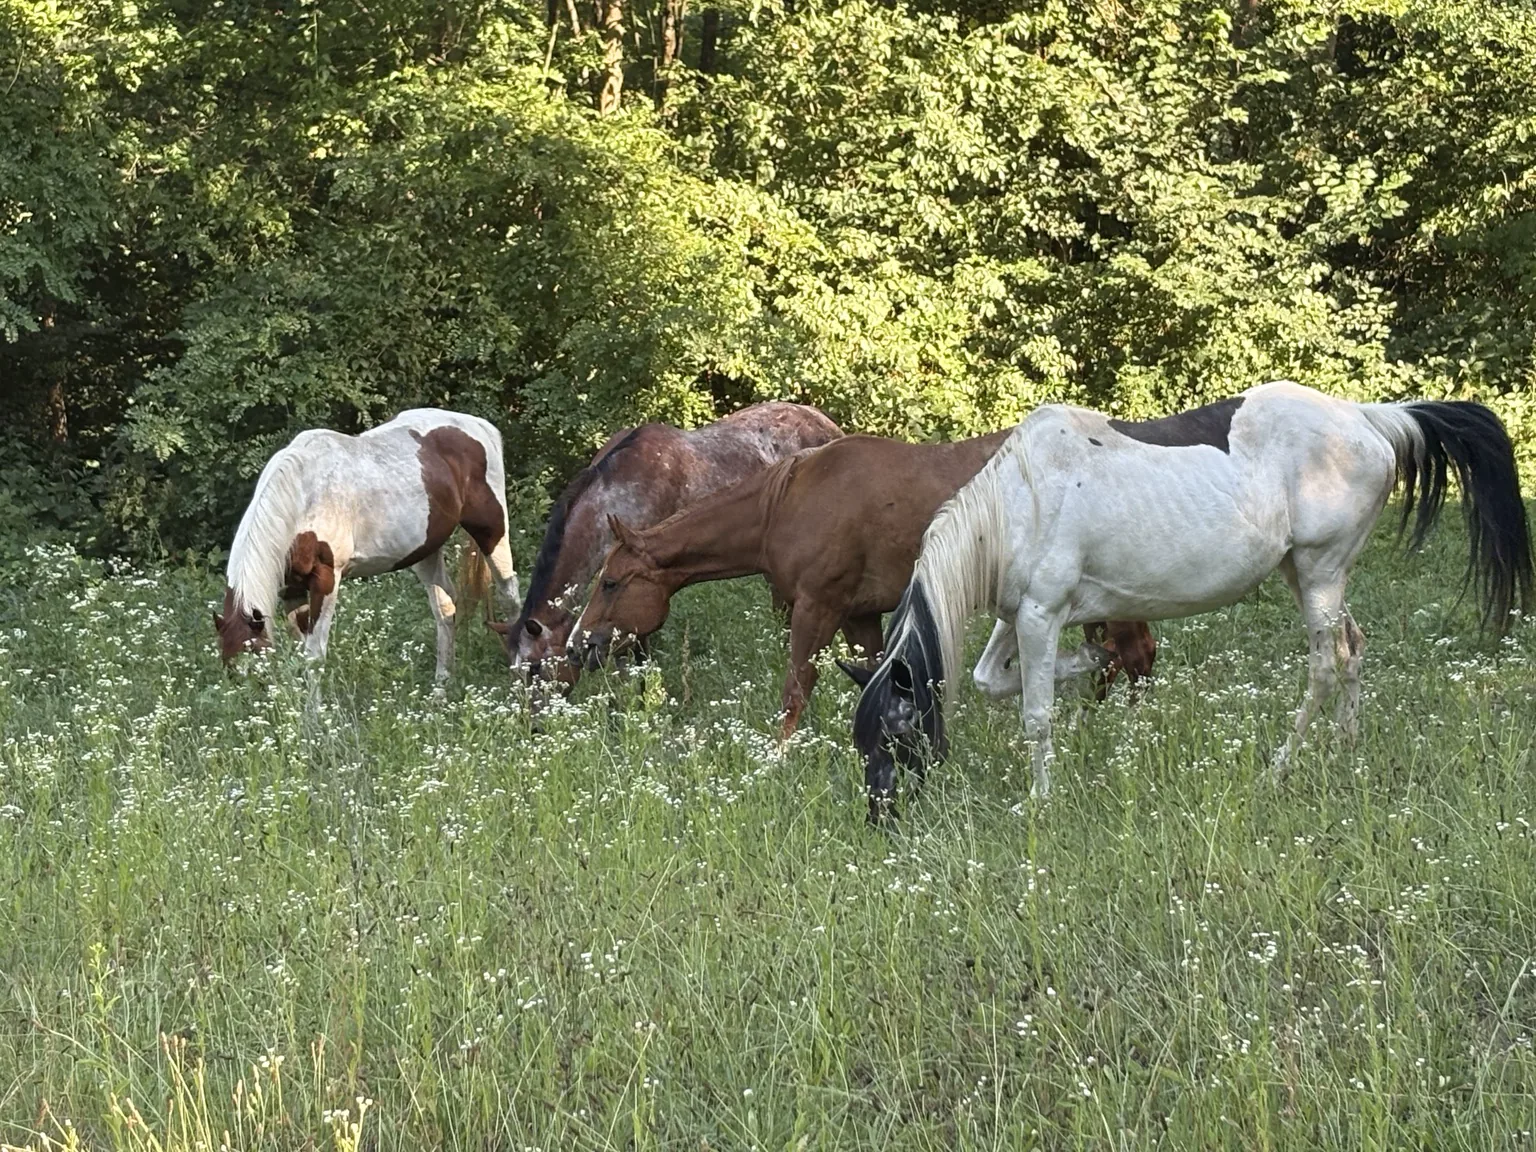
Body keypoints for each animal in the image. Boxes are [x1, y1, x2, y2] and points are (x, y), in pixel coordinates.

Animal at [214, 408, 522, 681]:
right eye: (231, 671)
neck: (300, 498)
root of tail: (480, 425)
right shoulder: (292, 590)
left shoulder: (326, 580)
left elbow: (315, 656)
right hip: (425, 550)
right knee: (444, 608)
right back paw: (441, 688)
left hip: (492, 530)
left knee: (509, 595)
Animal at [570, 430, 1156, 737]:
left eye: (611, 583)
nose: (580, 645)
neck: (787, 501)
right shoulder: (859, 615)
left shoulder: (818, 607)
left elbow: (795, 689)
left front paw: (775, 761)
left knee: (1135, 656)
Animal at [850, 381, 1533, 822]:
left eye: (895, 731)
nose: (879, 814)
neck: (1020, 501)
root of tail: (1367, 417)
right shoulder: (1023, 614)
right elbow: (992, 679)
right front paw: (1092, 662)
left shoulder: (1041, 615)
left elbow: (1035, 714)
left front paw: (1042, 799)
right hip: (1309, 573)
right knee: (1353, 650)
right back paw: (1347, 749)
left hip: (1320, 571)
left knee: (1323, 665)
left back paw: (1279, 769)